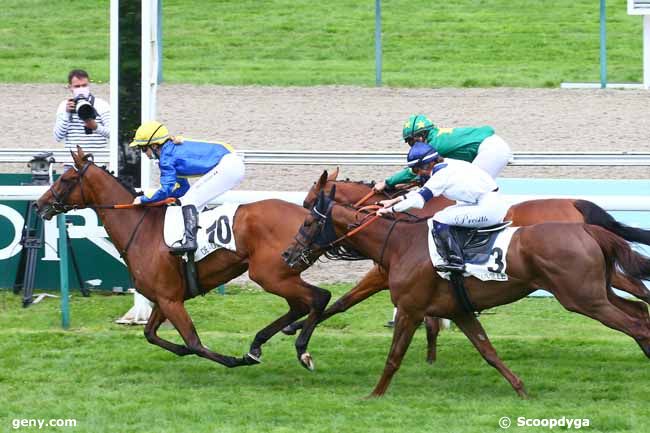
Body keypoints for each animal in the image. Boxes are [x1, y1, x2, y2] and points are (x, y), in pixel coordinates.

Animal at [34, 148, 330, 368]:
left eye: (65, 179)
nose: (39, 204)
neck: (141, 228)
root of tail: (311, 219)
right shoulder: (163, 298)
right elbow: (151, 334)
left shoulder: (170, 299)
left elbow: (194, 343)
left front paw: (232, 360)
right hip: (280, 275)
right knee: (301, 305)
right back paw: (259, 345)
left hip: (270, 274)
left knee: (319, 297)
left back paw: (299, 350)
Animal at [282, 187, 648, 396]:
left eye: (308, 222)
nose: (287, 254)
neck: (400, 243)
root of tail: (587, 228)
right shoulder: (458, 310)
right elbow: (488, 351)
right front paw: (521, 390)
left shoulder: (410, 309)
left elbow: (393, 356)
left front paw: (374, 396)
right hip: (596, 292)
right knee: (639, 313)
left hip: (583, 298)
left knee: (636, 323)